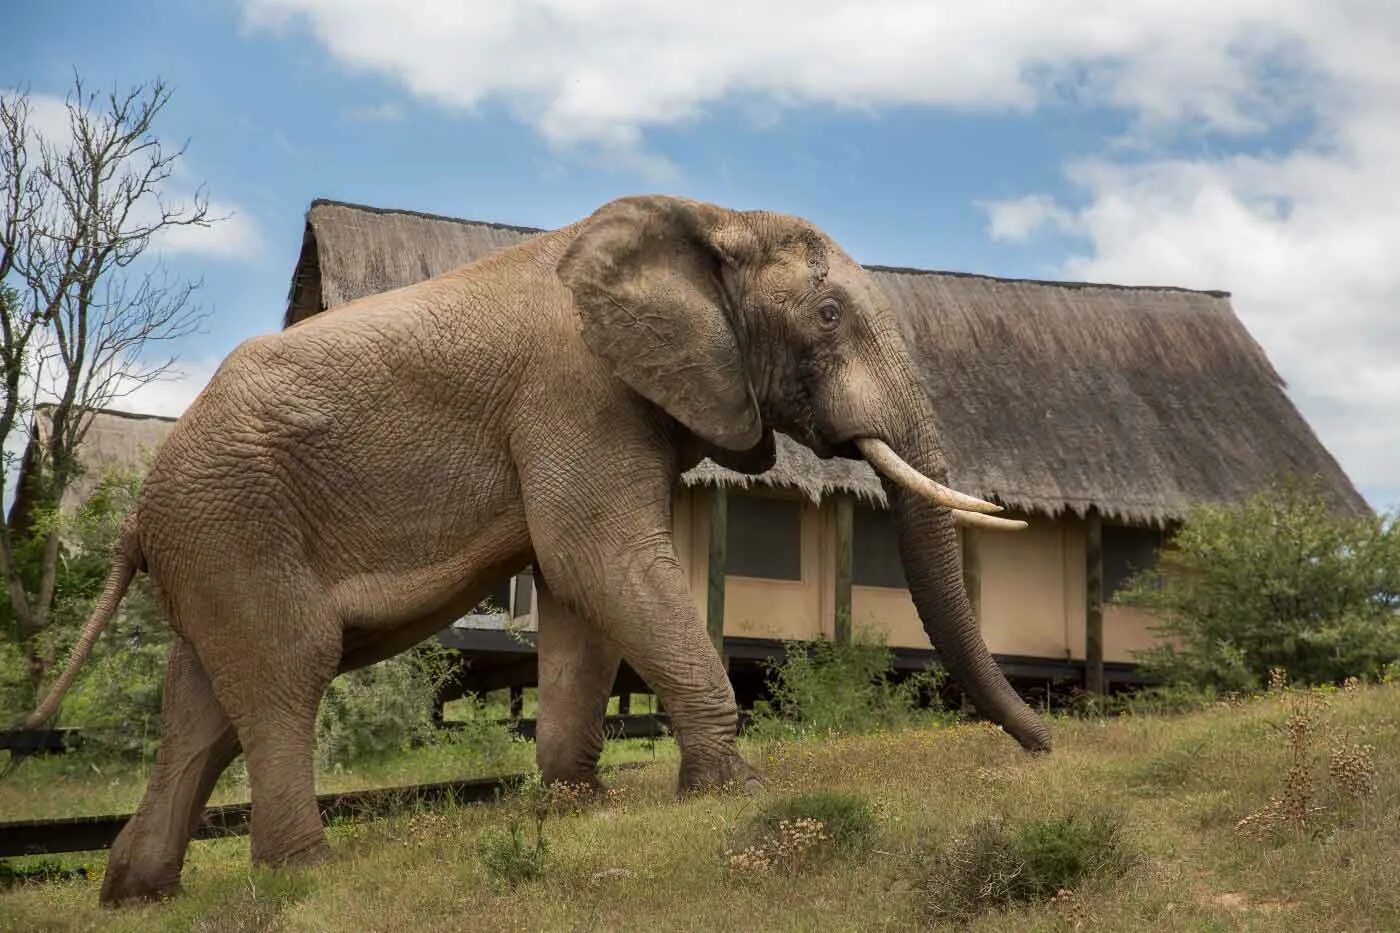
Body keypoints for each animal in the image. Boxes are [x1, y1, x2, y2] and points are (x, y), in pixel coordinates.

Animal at [27, 194, 1052, 902]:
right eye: (830, 317)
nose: (1045, 747)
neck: (710, 217)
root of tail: (138, 508)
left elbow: (579, 591)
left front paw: (574, 806)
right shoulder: (580, 390)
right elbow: (601, 558)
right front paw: (735, 789)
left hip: (211, 540)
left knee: (201, 704)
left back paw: (137, 892)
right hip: (234, 521)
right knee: (285, 671)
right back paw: (306, 872)